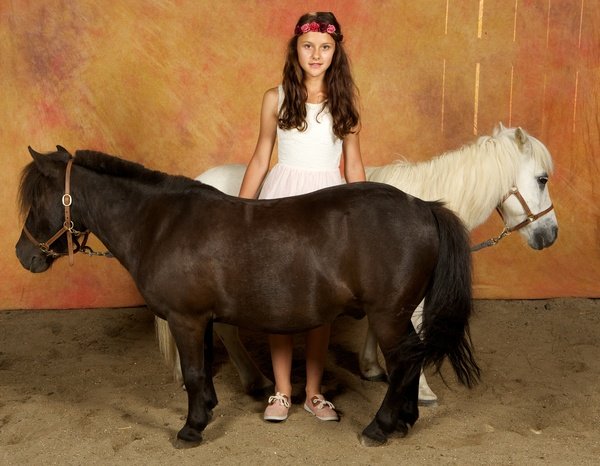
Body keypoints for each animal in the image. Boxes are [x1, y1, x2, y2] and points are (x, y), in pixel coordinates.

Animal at [16, 147, 480, 446]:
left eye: (38, 197)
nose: (24, 256)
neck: (162, 223)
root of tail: (423, 206)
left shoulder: (185, 319)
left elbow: (193, 373)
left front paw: (191, 429)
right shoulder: (199, 319)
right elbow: (202, 369)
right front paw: (206, 410)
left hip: (388, 315)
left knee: (403, 362)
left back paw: (381, 427)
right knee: (412, 359)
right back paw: (405, 419)